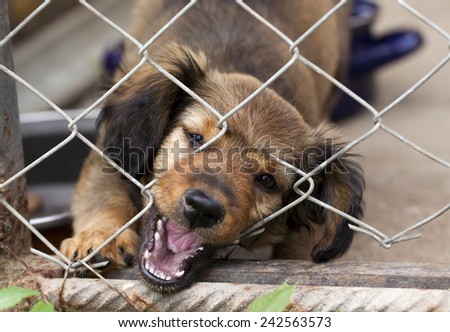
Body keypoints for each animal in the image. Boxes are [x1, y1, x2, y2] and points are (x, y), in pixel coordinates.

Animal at [59, 0, 364, 292]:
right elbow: (104, 195)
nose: (203, 208)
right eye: (195, 137)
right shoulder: (109, 153)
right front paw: (99, 237)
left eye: (268, 180)